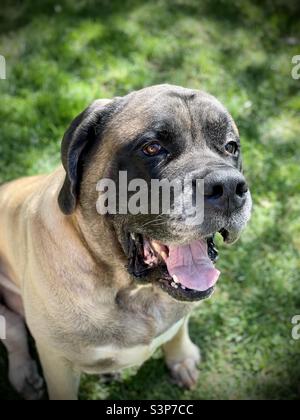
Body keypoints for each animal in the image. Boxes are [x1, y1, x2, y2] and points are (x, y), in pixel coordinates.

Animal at [0, 83, 252, 400]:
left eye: (230, 146)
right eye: (152, 148)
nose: (229, 187)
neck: (135, 291)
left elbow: (179, 328)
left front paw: (181, 358)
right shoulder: (57, 363)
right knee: (13, 328)